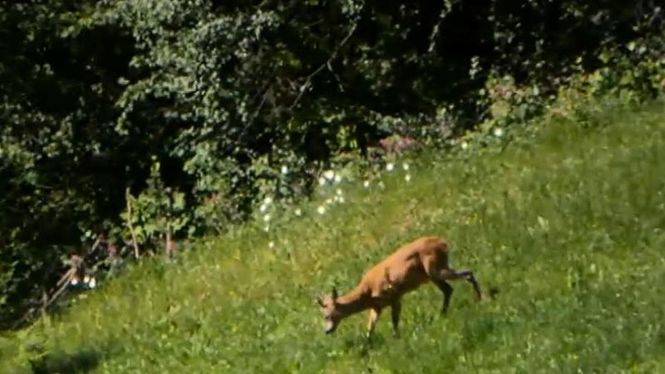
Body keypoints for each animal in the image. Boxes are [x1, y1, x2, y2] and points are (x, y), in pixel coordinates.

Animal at [316, 237, 482, 338]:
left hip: (435, 268)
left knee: (467, 274)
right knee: (449, 289)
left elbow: (395, 321)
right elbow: (370, 328)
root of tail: (442, 242)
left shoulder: (394, 296)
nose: (326, 331)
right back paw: (443, 313)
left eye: (327, 315)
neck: (366, 293)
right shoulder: (376, 307)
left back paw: (479, 299)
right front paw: (367, 347)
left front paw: (396, 338)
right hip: (432, 274)